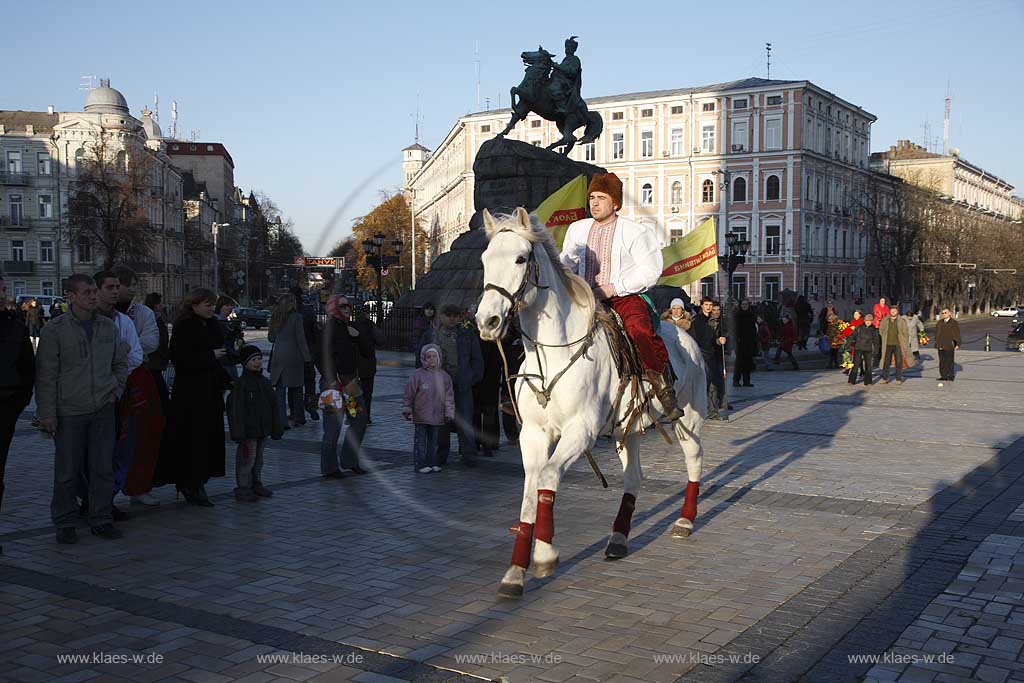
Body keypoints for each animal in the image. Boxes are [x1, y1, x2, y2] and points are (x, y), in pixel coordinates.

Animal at [477, 209, 704, 598]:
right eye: (485, 259)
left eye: (521, 259)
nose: (486, 321)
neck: (554, 353)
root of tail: (684, 335)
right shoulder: (533, 434)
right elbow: (530, 491)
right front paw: (515, 572)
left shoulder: (580, 431)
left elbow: (548, 477)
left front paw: (545, 555)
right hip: (629, 428)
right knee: (634, 478)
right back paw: (617, 539)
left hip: (688, 418)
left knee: (694, 459)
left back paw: (685, 521)